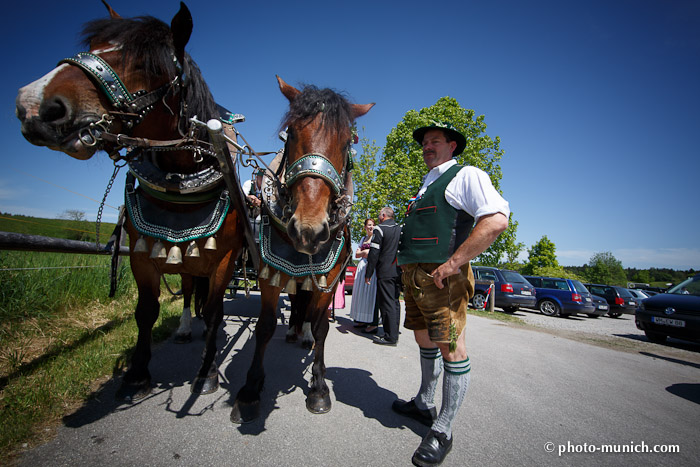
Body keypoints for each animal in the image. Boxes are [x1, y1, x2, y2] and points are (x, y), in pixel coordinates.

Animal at [15, 1, 247, 400]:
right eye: (92, 45)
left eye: (147, 65)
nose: (33, 104)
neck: (182, 180)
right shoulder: (141, 253)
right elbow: (146, 311)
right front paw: (137, 373)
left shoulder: (225, 259)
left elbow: (216, 311)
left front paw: (207, 371)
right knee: (188, 291)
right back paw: (185, 328)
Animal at [230, 77, 372, 424]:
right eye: (291, 133)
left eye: (346, 143)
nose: (309, 228)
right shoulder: (270, 271)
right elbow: (266, 325)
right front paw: (250, 390)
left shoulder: (328, 277)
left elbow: (321, 327)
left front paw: (319, 387)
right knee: (296, 300)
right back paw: (295, 331)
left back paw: (303, 334)